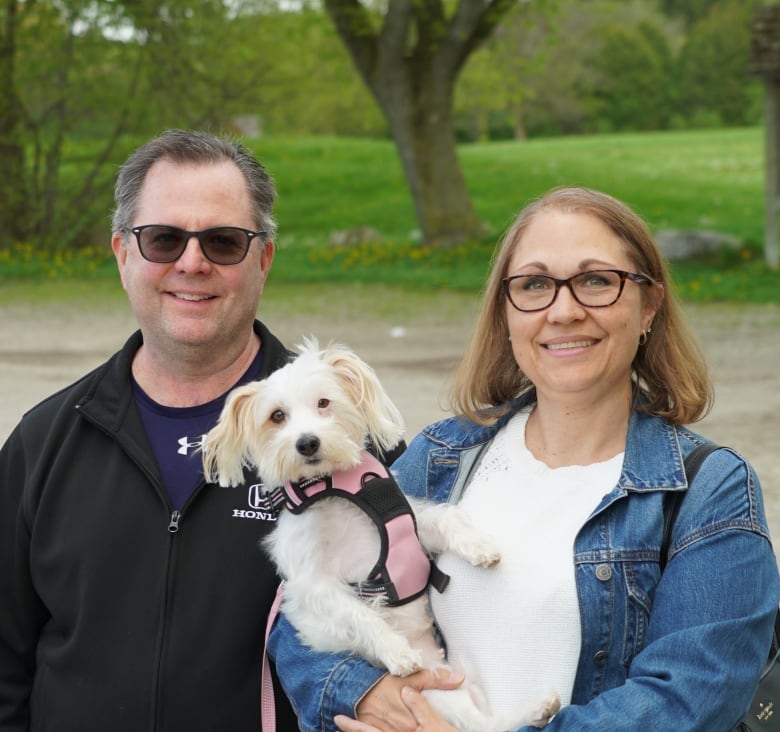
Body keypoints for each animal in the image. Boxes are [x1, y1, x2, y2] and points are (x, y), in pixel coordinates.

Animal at [198, 340, 556, 728]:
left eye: (323, 403)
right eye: (277, 416)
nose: (307, 443)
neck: (331, 489)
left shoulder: (409, 523)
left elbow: (443, 520)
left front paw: (480, 546)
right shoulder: (314, 582)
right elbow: (361, 614)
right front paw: (397, 651)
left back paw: (537, 709)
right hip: (433, 692)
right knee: (478, 725)